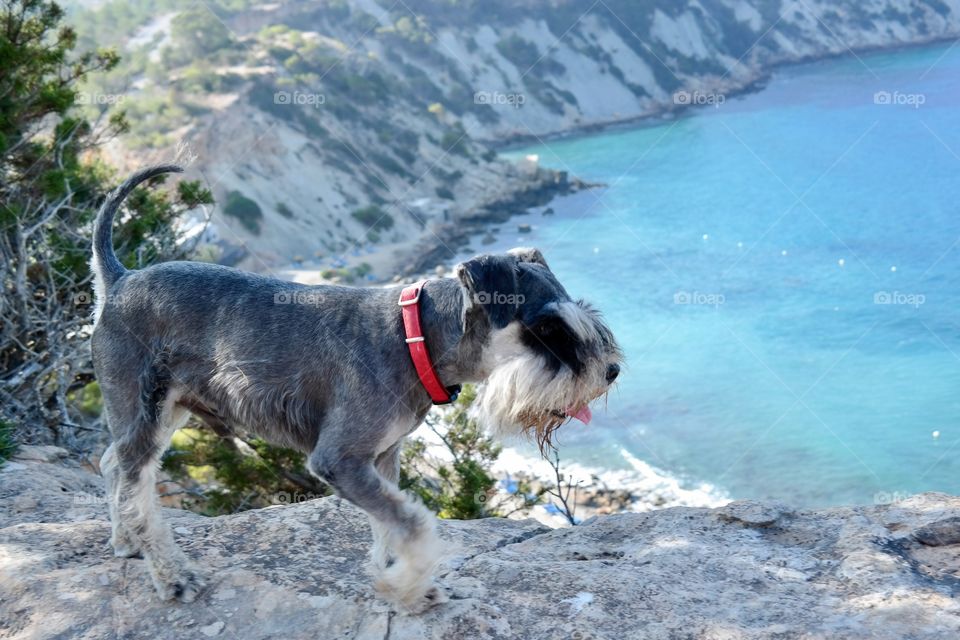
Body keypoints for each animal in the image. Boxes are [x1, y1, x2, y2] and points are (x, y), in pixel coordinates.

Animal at [94, 165, 628, 616]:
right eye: (547, 328)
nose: (611, 371)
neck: (415, 339)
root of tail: (119, 281)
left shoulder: (382, 458)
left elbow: (392, 526)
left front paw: (403, 581)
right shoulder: (341, 459)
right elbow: (414, 524)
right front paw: (403, 588)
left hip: (165, 412)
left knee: (113, 463)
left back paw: (125, 541)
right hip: (144, 409)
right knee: (136, 484)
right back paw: (171, 574)